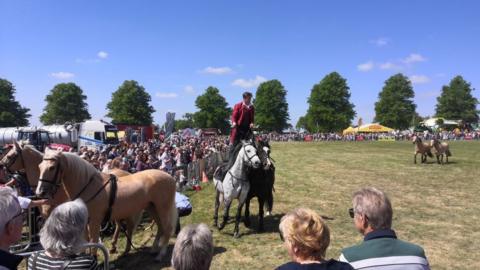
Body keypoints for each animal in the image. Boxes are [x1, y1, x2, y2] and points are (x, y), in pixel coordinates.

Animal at [35, 148, 177, 262]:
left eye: (52, 167)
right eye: (40, 166)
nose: (40, 192)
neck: (89, 185)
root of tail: (170, 177)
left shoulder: (95, 222)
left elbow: (93, 241)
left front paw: (94, 258)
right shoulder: (85, 222)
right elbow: (85, 242)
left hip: (163, 208)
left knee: (168, 228)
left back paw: (160, 255)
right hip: (152, 207)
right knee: (160, 227)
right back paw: (153, 250)